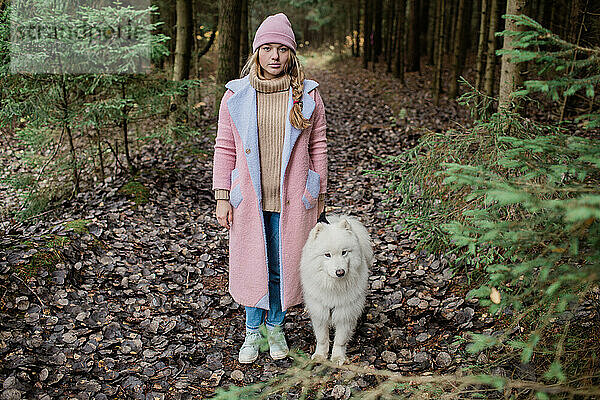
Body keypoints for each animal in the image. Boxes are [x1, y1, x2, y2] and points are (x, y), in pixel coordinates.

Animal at [298, 216, 372, 366]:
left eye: (344, 252)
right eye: (327, 255)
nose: (340, 272)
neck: (334, 287)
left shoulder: (345, 313)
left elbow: (340, 340)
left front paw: (338, 357)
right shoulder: (320, 311)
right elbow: (322, 338)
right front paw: (320, 355)